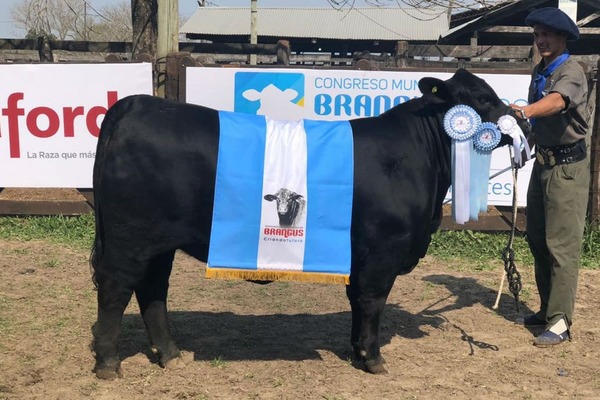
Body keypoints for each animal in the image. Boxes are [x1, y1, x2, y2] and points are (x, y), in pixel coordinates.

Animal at [90, 68, 528, 378]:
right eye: (482, 98)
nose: (519, 123)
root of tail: (137, 105)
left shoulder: (358, 254)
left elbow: (357, 300)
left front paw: (357, 351)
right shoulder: (383, 250)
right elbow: (373, 301)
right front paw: (373, 358)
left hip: (159, 243)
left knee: (152, 290)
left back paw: (170, 354)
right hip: (130, 238)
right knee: (116, 288)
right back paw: (109, 363)